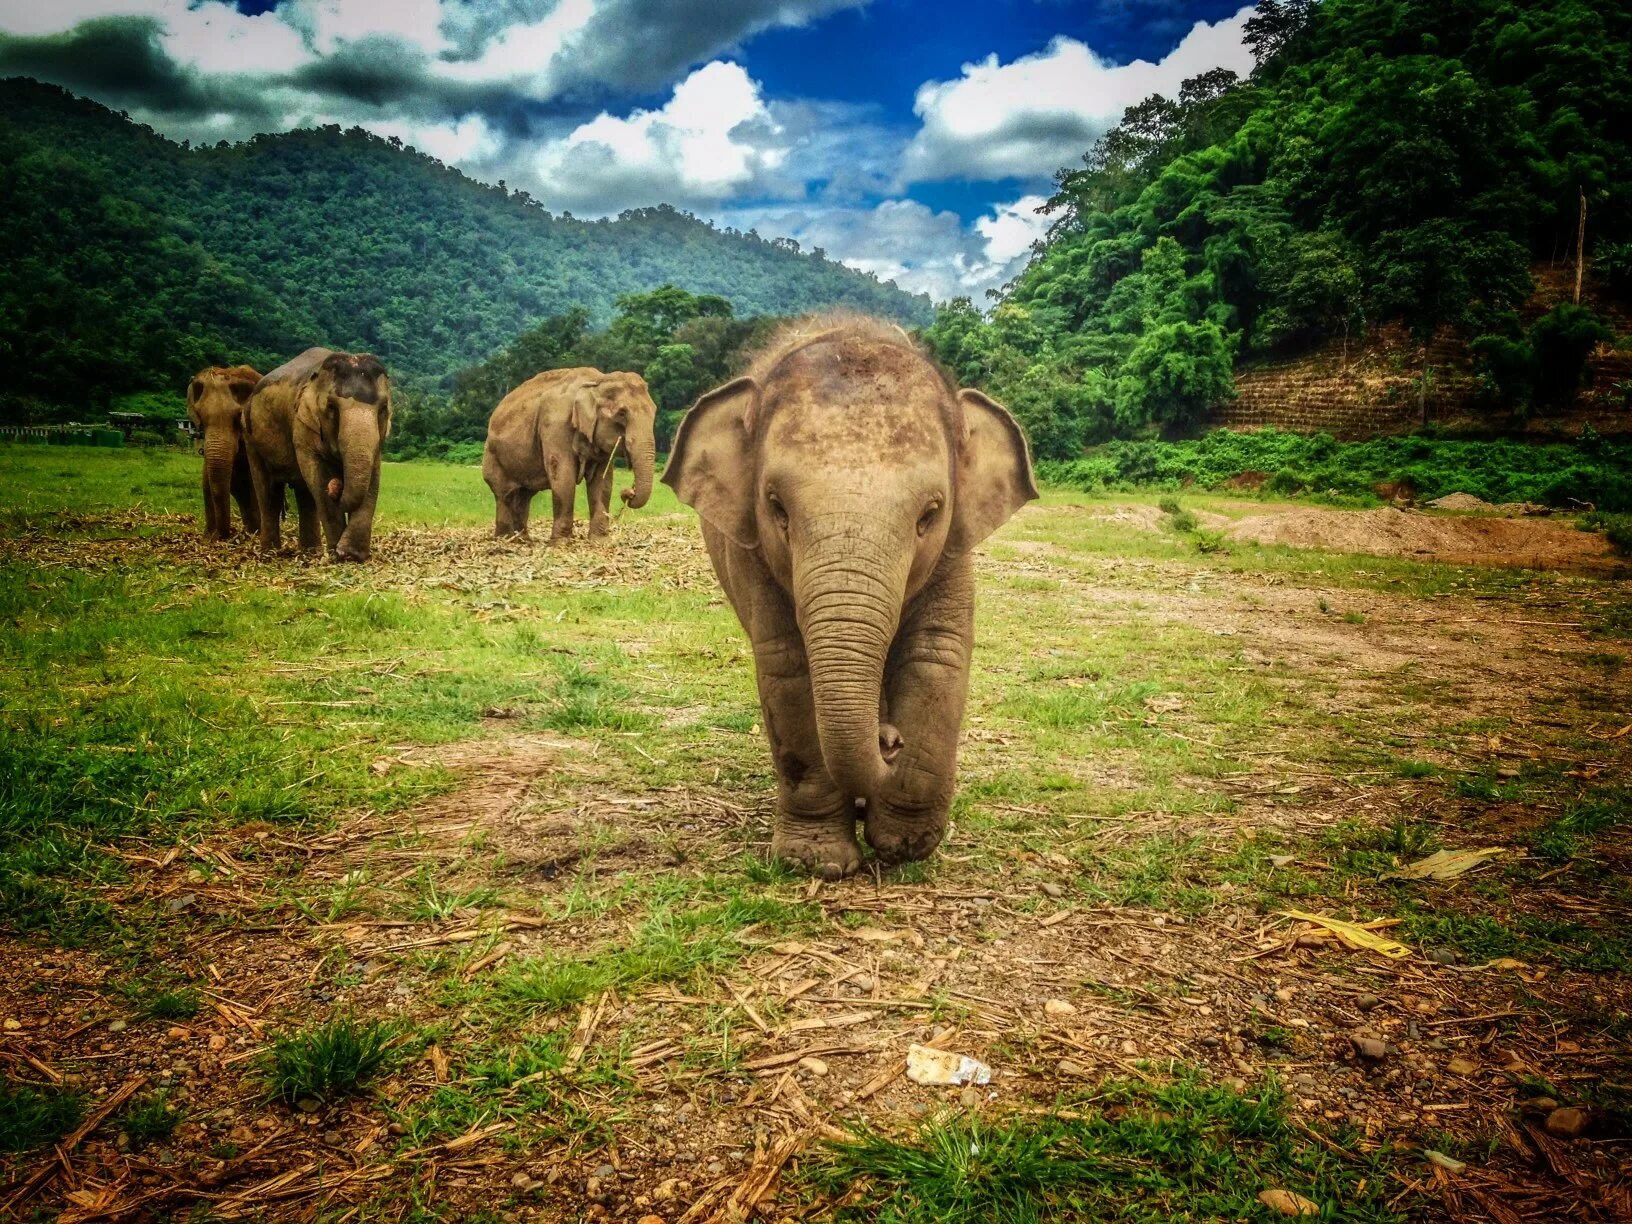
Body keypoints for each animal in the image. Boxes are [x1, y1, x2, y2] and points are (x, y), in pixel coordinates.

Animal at [186, 362, 262, 538]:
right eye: (200, 417)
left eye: (238, 417)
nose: (226, 535)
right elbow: (206, 480)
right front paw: (209, 537)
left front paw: (256, 534)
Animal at [241, 347, 391, 564]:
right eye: (331, 407)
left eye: (383, 408)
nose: (337, 485)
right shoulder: (303, 426)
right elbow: (320, 480)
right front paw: (339, 555)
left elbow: (373, 480)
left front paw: (351, 555)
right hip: (249, 437)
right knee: (269, 492)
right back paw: (270, 553)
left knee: (304, 494)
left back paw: (311, 553)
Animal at [483, 368, 656, 541]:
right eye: (622, 413)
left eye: (654, 411)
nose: (629, 492)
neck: (597, 380)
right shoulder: (555, 425)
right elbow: (563, 476)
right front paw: (561, 542)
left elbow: (602, 482)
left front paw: (599, 540)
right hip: (492, 455)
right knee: (504, 494)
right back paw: (504, 539)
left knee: (524, 495)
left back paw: (522, 539)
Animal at [659, 313, 1031, 874]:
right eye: (776, 507)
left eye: (930, 514)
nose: (889, 739)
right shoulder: (749, 552)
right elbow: (787, 668)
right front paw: (816, 862)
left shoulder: (954, 548)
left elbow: (934, 654)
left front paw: (905, 845)